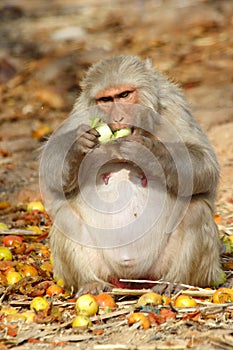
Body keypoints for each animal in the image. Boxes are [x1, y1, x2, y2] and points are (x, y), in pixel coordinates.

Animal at [40, 54, 224, 296]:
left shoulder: (174, 106)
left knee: (196, 210)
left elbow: (205, 164)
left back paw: (175, 281)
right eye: (106, 100)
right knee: (65, 218)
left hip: (164, 269)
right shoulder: (80, 113)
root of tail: (133, 280)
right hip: (105, 269)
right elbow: (52, 170)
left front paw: (150, 152)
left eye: (124, 95)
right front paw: (78, 146)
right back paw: (90, 283)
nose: (118, 117)